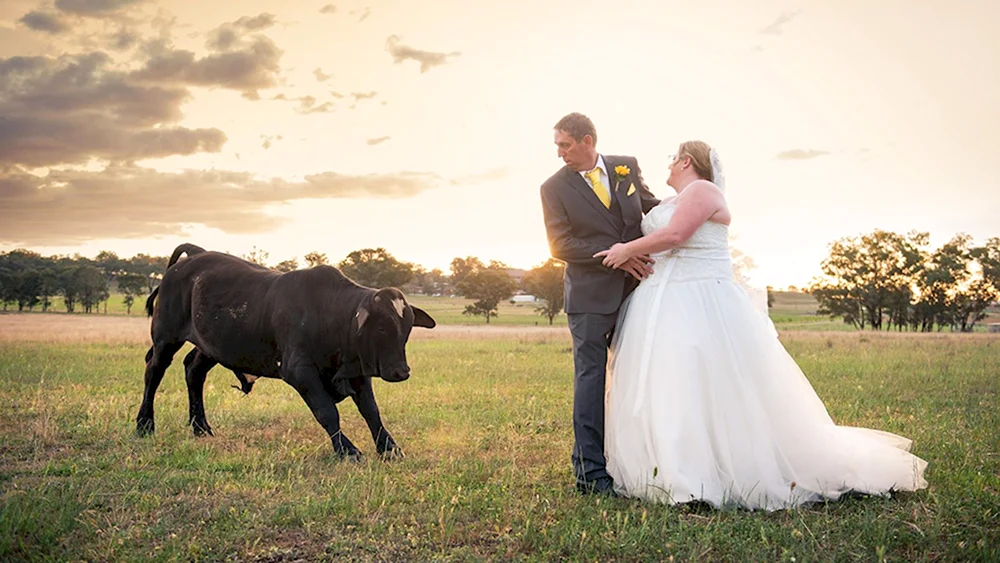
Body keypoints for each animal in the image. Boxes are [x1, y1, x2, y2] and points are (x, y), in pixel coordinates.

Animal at [136, 245, 434, 460]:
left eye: (407, 327)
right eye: (381, 326)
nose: (401, 371)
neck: (331, 313)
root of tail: (193, 256)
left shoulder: (357, 372)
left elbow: (372, 411)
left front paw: (389, 448)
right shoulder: (300, 372)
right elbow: (327, 412)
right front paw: (347, 450)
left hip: (211, 347)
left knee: (193, 371)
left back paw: (201, 427)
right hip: (165, 338)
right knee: (154, 372)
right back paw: (144, 425)